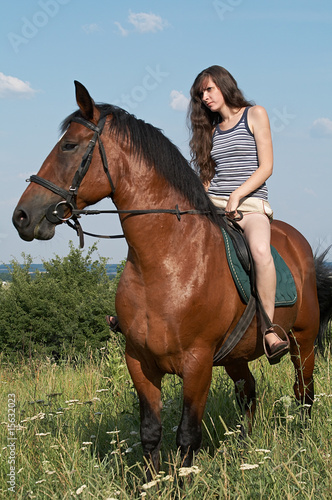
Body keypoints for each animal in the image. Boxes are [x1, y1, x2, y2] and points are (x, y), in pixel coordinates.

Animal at [11, 81, 330, 476]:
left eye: (68, 145)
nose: (22, 217)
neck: (165, 262)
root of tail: (298, 243)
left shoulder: (197, 364)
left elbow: (187, 435)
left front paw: (182, 481)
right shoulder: (139, 362)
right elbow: (150, 432)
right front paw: (152, 483)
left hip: (303, 341)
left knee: (304, 393)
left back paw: (300, 442)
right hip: (236, 356)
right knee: (248, 393)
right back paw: (244, 450)